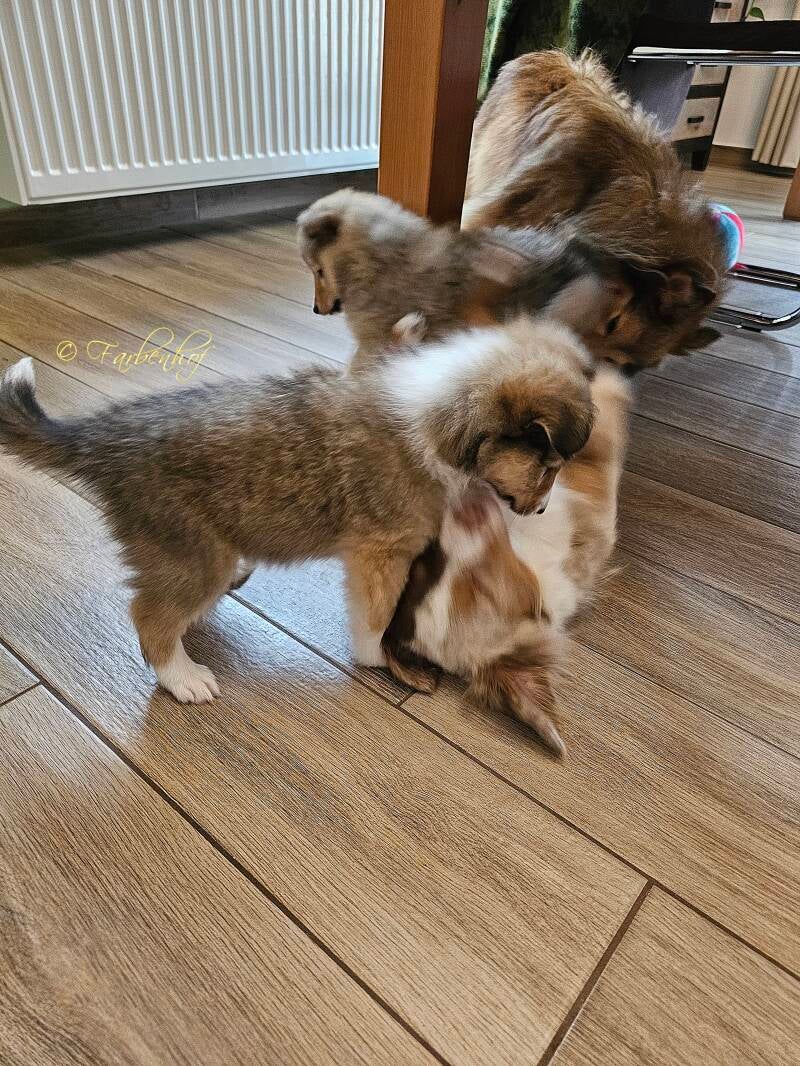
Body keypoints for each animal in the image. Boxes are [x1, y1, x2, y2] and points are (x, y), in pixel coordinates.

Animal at [0, 318, 594, 704]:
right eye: (550, 466)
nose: (541, 509)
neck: (440, 419)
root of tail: (99, 437)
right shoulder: (383, 550)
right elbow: (378, 613)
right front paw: (376, 657)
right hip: (189, 551)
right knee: (150, 615)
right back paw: (184, 678)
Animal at [382, 365, 630, 754]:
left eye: (429, 561)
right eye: (480, 589)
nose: (463, 511)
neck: (522, 539)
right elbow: (603, 427)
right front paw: (610, 384)